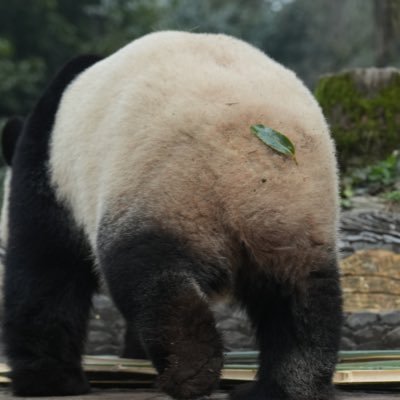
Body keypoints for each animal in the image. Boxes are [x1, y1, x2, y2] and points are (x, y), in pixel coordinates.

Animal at [1, 31, 342, 400]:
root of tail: (251, 151)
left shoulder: (51, 178)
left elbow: (45, 272)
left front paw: (48, 381)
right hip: (299, 212)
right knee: (303, 298)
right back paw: (284, 386)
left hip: (166, 186)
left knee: (154, 277)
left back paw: (190, 370)